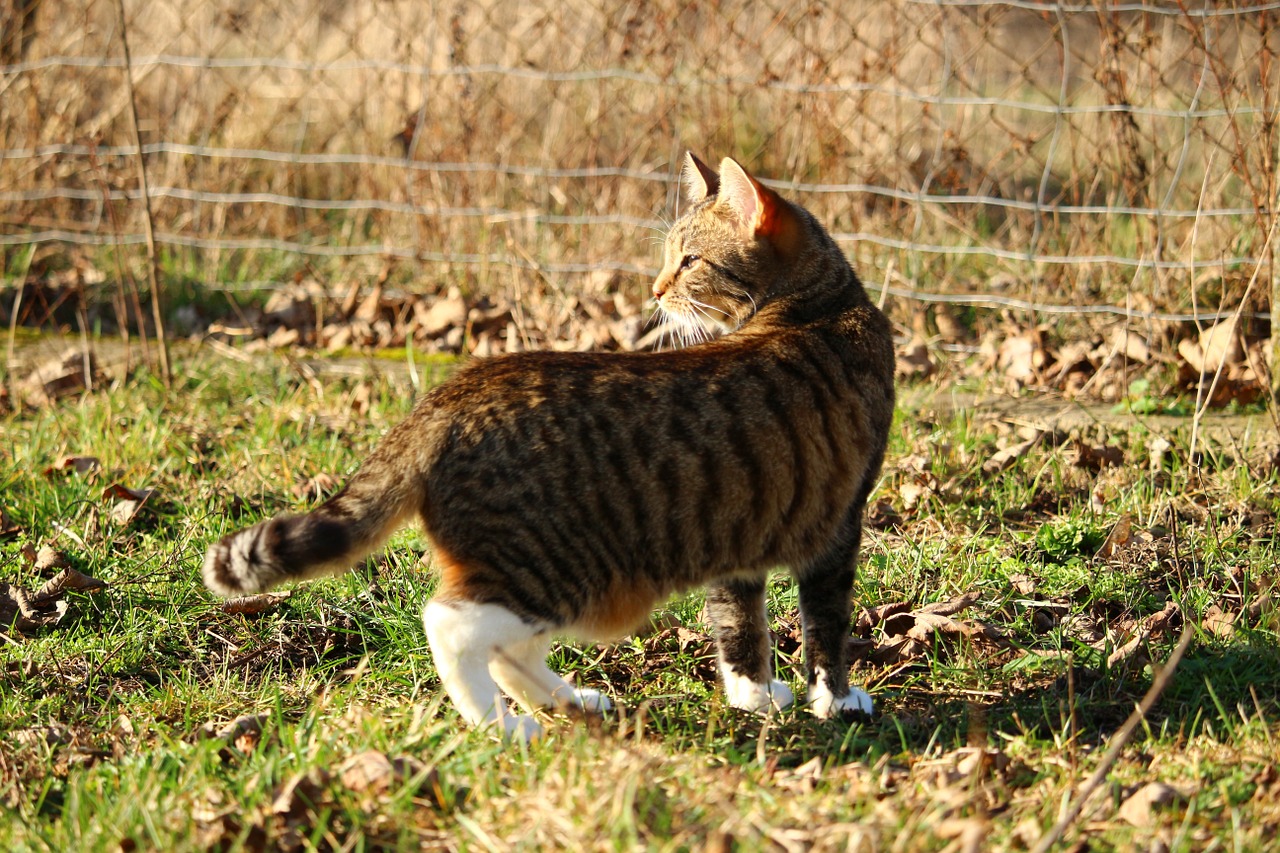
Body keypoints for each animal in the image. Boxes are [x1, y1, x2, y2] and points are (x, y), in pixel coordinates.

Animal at [204, 153, 896, 737]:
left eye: (690, 261)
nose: (653, 291)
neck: (819, 306)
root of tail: (452, 395)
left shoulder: (738, 532)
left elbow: (738, 624)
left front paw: (753, 696)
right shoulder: (839, 522)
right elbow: (826, 627)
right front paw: (837, 700)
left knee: (508, 650)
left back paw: (568, 701)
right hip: (557, 568)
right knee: (453, 628)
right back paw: (502, 726)